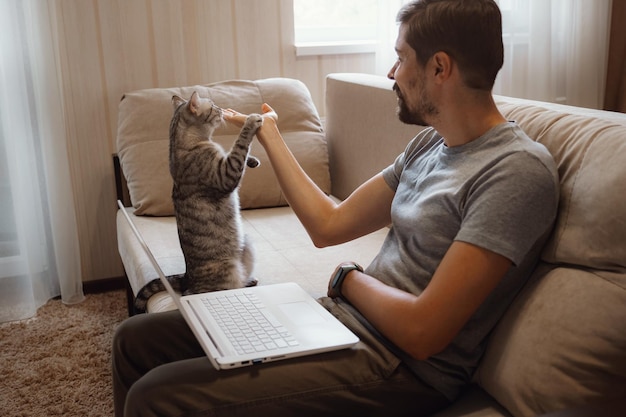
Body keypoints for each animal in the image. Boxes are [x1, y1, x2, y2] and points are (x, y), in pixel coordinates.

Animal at [133, 91, 260, 312]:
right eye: (213, 106)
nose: (221, 108)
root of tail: (186, 277)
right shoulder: (225, 175)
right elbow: (239, 146)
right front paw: (251, 121)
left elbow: (238, 153)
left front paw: (252, 160)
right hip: (228, 269)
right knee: (204, 292)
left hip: (247, 244)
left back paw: (250, 280)